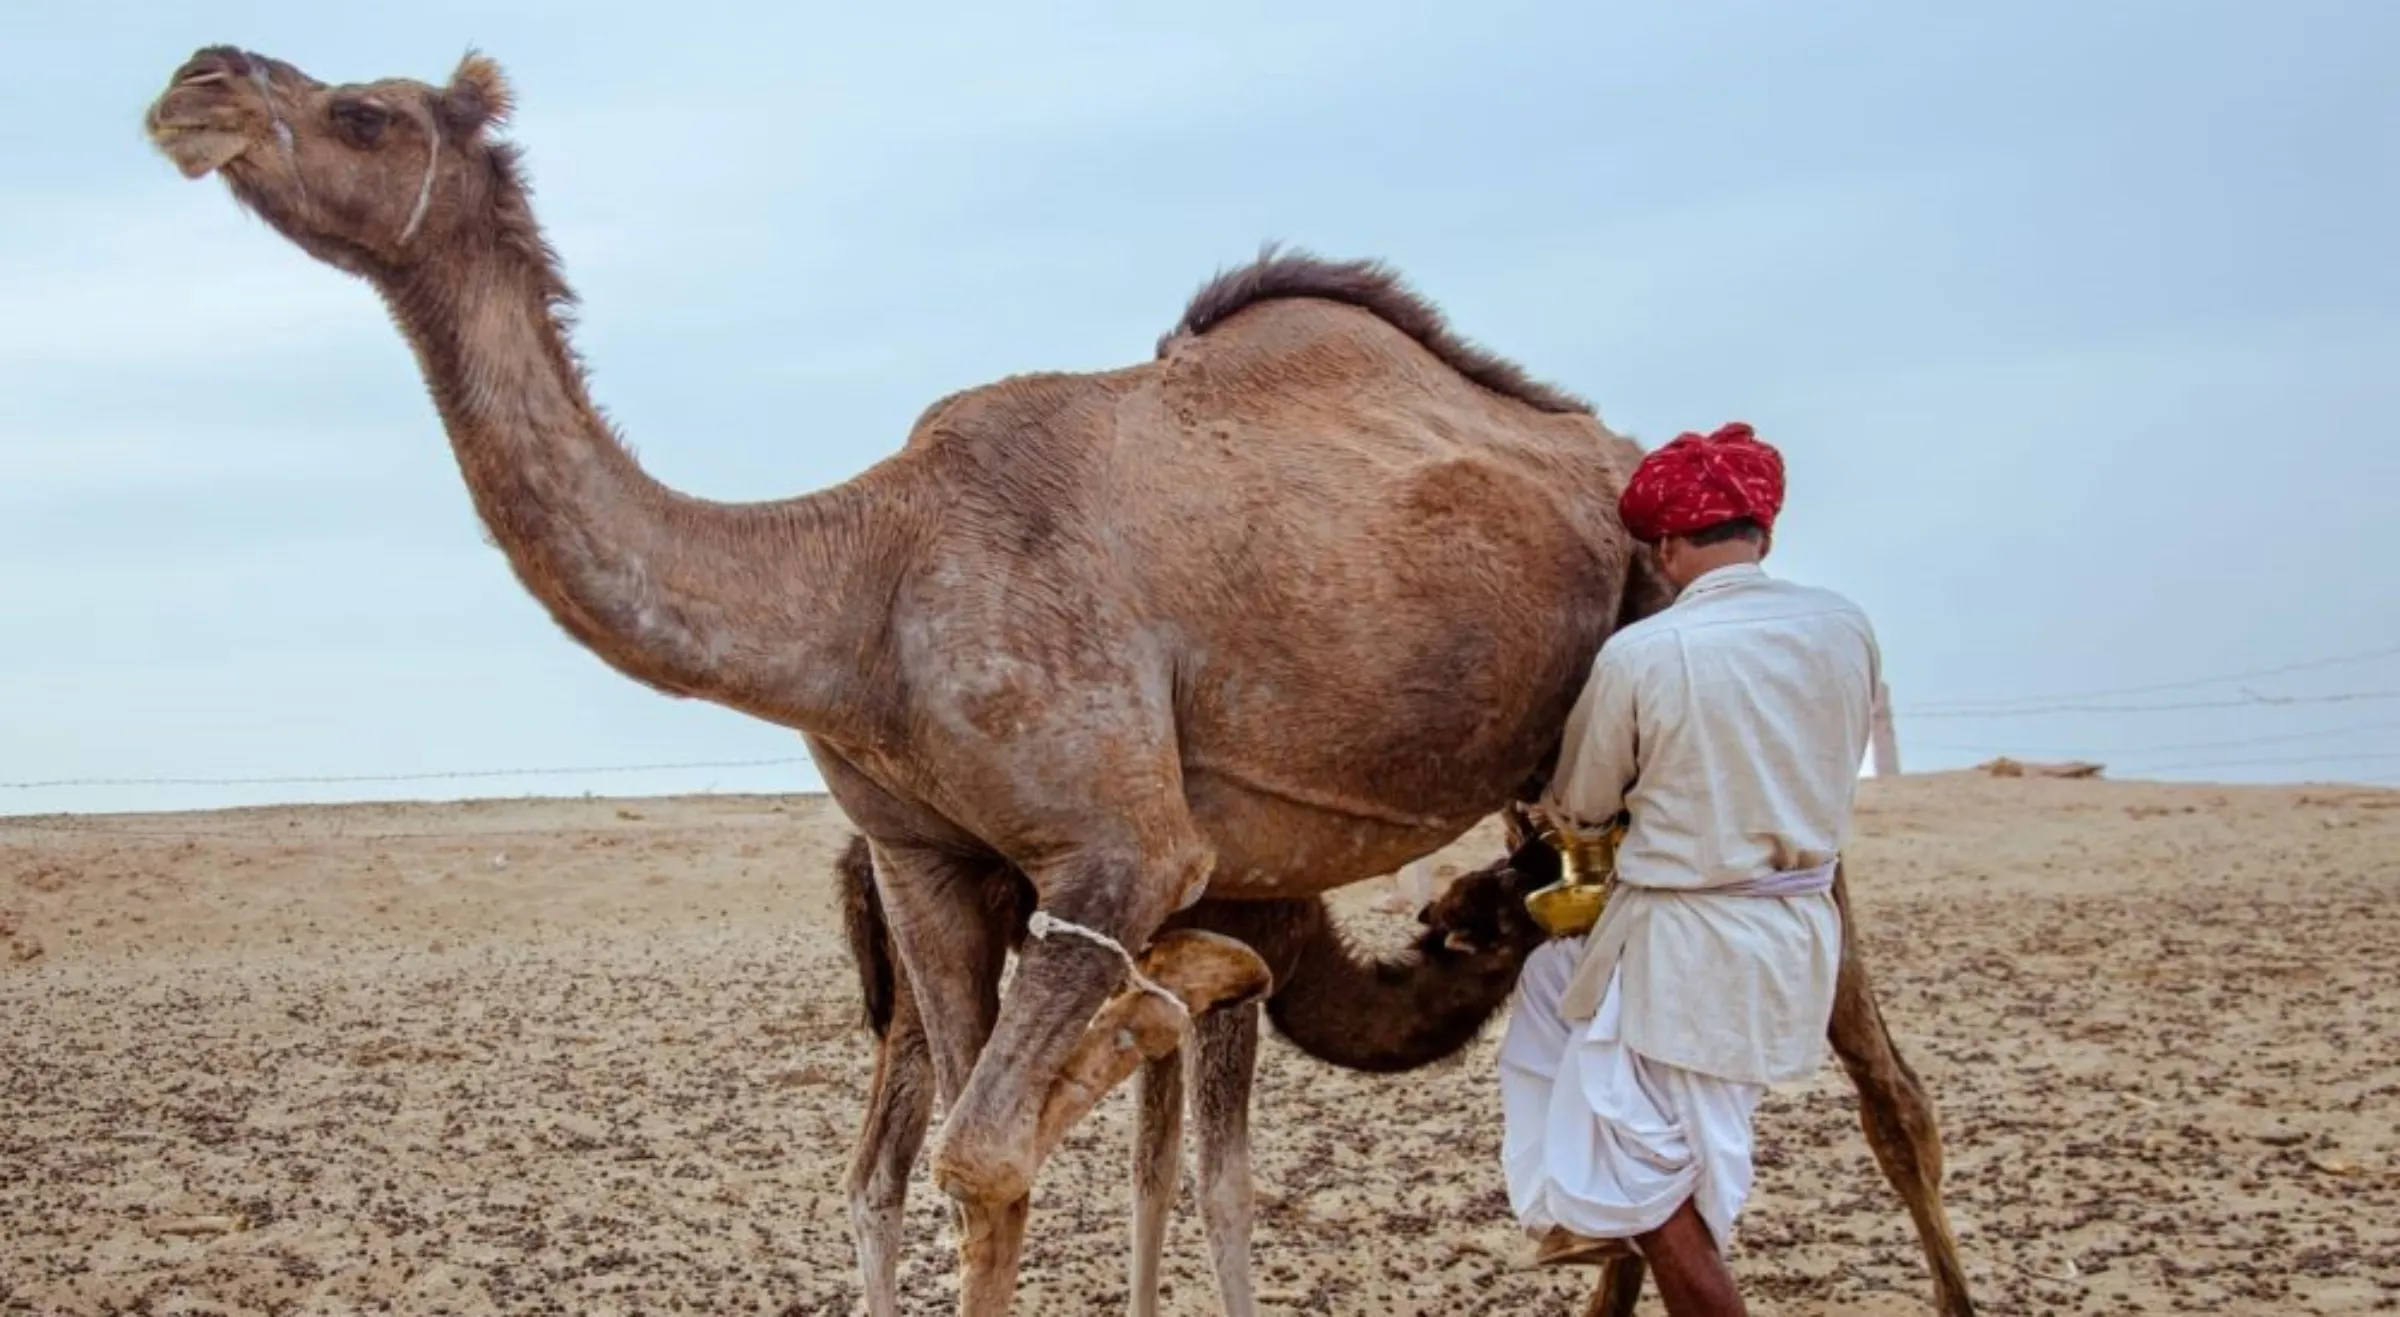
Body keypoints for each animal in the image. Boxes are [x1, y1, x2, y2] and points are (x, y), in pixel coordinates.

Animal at [835, 830, 1545, 1314]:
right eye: (1513, 909)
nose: (1537, 858)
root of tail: (857, 857)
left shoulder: (1165, 992)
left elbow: (1154, 1170)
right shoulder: (1236, 979)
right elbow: (1224, 1189)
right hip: (924, 964)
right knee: (882, 1172)